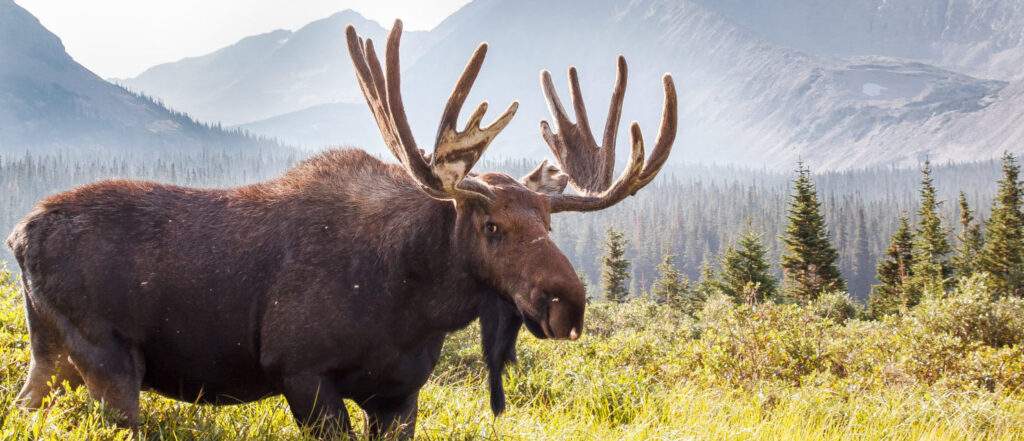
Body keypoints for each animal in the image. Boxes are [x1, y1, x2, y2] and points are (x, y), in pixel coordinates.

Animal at [6, 19, 676, 439]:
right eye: (490, 225)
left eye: (549, 225)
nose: (568, 303)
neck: (417, 302)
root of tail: (18, 236)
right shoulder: (301, 373)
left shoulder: (399, 394)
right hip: (108, 358)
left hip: (53, 355)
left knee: (22, 408)